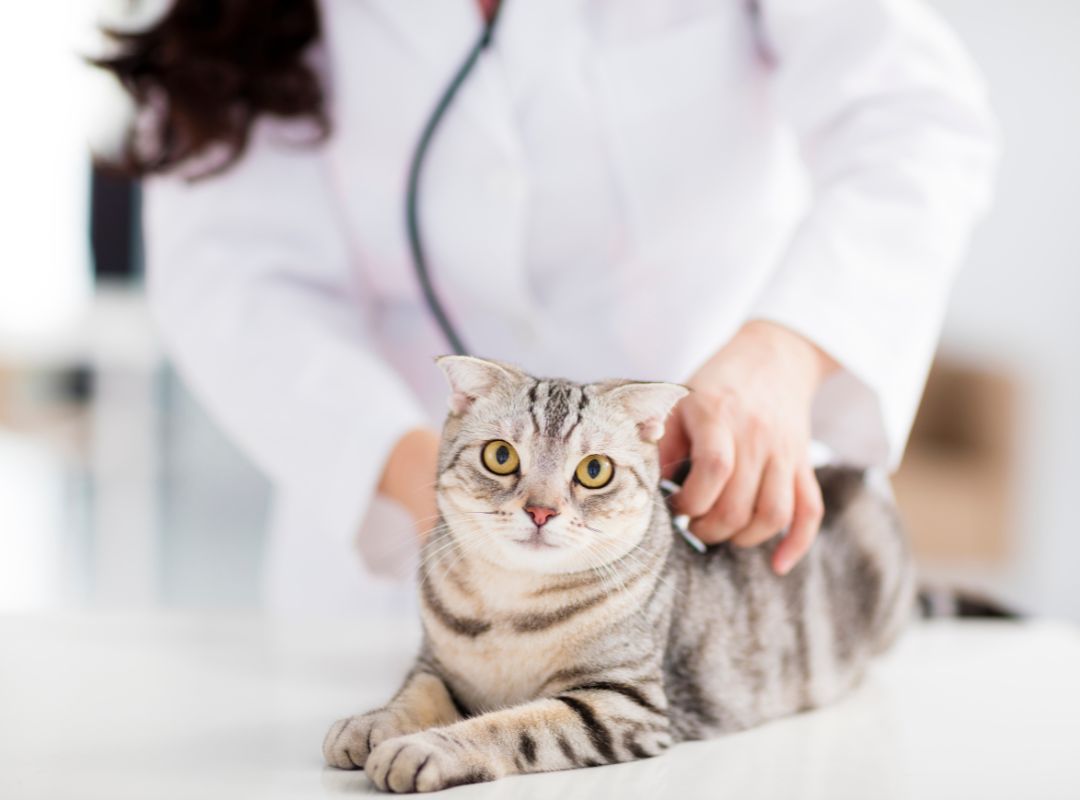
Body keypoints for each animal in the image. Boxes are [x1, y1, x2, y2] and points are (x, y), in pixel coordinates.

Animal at [319, 356, 911, 794]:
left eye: (594, 471)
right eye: (501, 456)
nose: (541, 510)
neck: (509, 607)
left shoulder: (621, 705)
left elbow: (511, 725)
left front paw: (426, 747)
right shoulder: (437, 664)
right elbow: (414, 693)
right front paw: (370, 723)